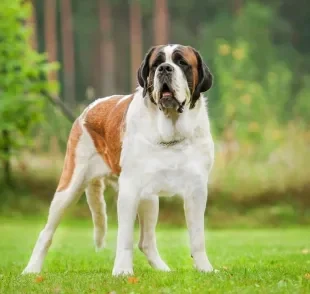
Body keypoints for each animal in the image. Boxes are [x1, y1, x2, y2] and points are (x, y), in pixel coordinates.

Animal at [22, 43, 216, 276]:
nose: (165, 69)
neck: (170, 132)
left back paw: (162, 269)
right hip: (69, 188)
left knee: (146, 242)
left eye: (182, 63)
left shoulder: (197, 190)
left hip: (149, 198)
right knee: (46, 232)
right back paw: (31, 269)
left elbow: (198, 237)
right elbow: (125, 237)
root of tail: (88, 109)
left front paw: (205, 269)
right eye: (156, 64)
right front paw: (123, 271)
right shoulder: (129, 189)